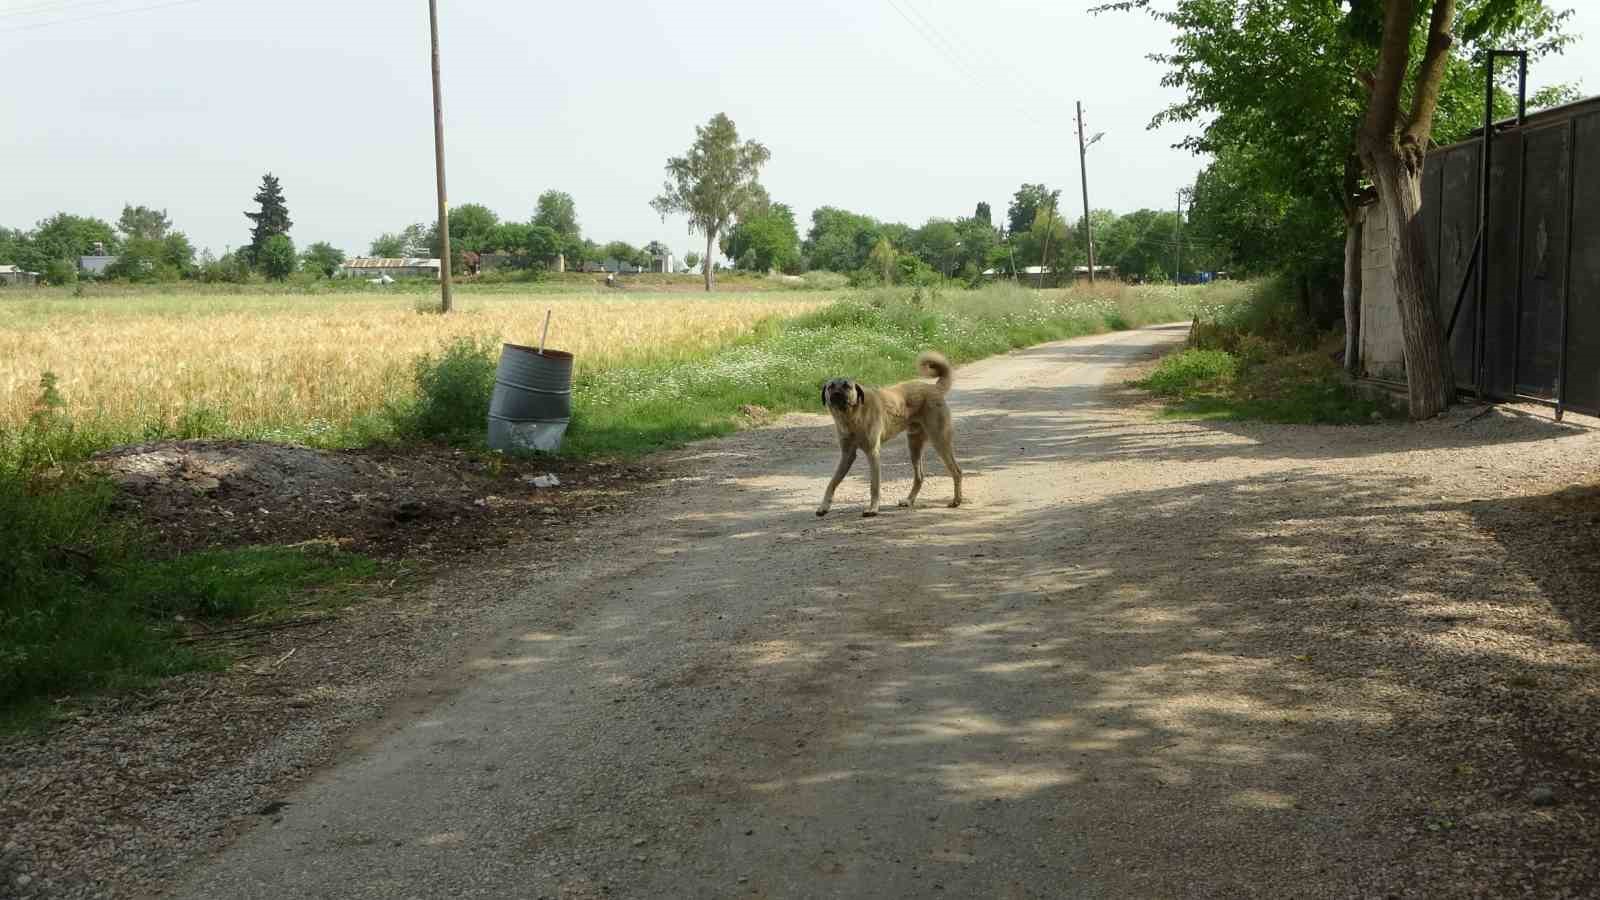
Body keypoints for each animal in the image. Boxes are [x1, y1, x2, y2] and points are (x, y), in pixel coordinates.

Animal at [819, 350, 953, 518]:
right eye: (830, 387)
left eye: (846, 386)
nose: (836, 394)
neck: (852, 416)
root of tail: (933, 388)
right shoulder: (847, 455)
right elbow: (832, 482)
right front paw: (824, 506)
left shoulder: (873, 453)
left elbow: (874, 486)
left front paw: (873, 509)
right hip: (914, 446)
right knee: (920, 476)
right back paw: (909, 500)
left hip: (939, 440)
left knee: (957, 471)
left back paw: (956, 501)